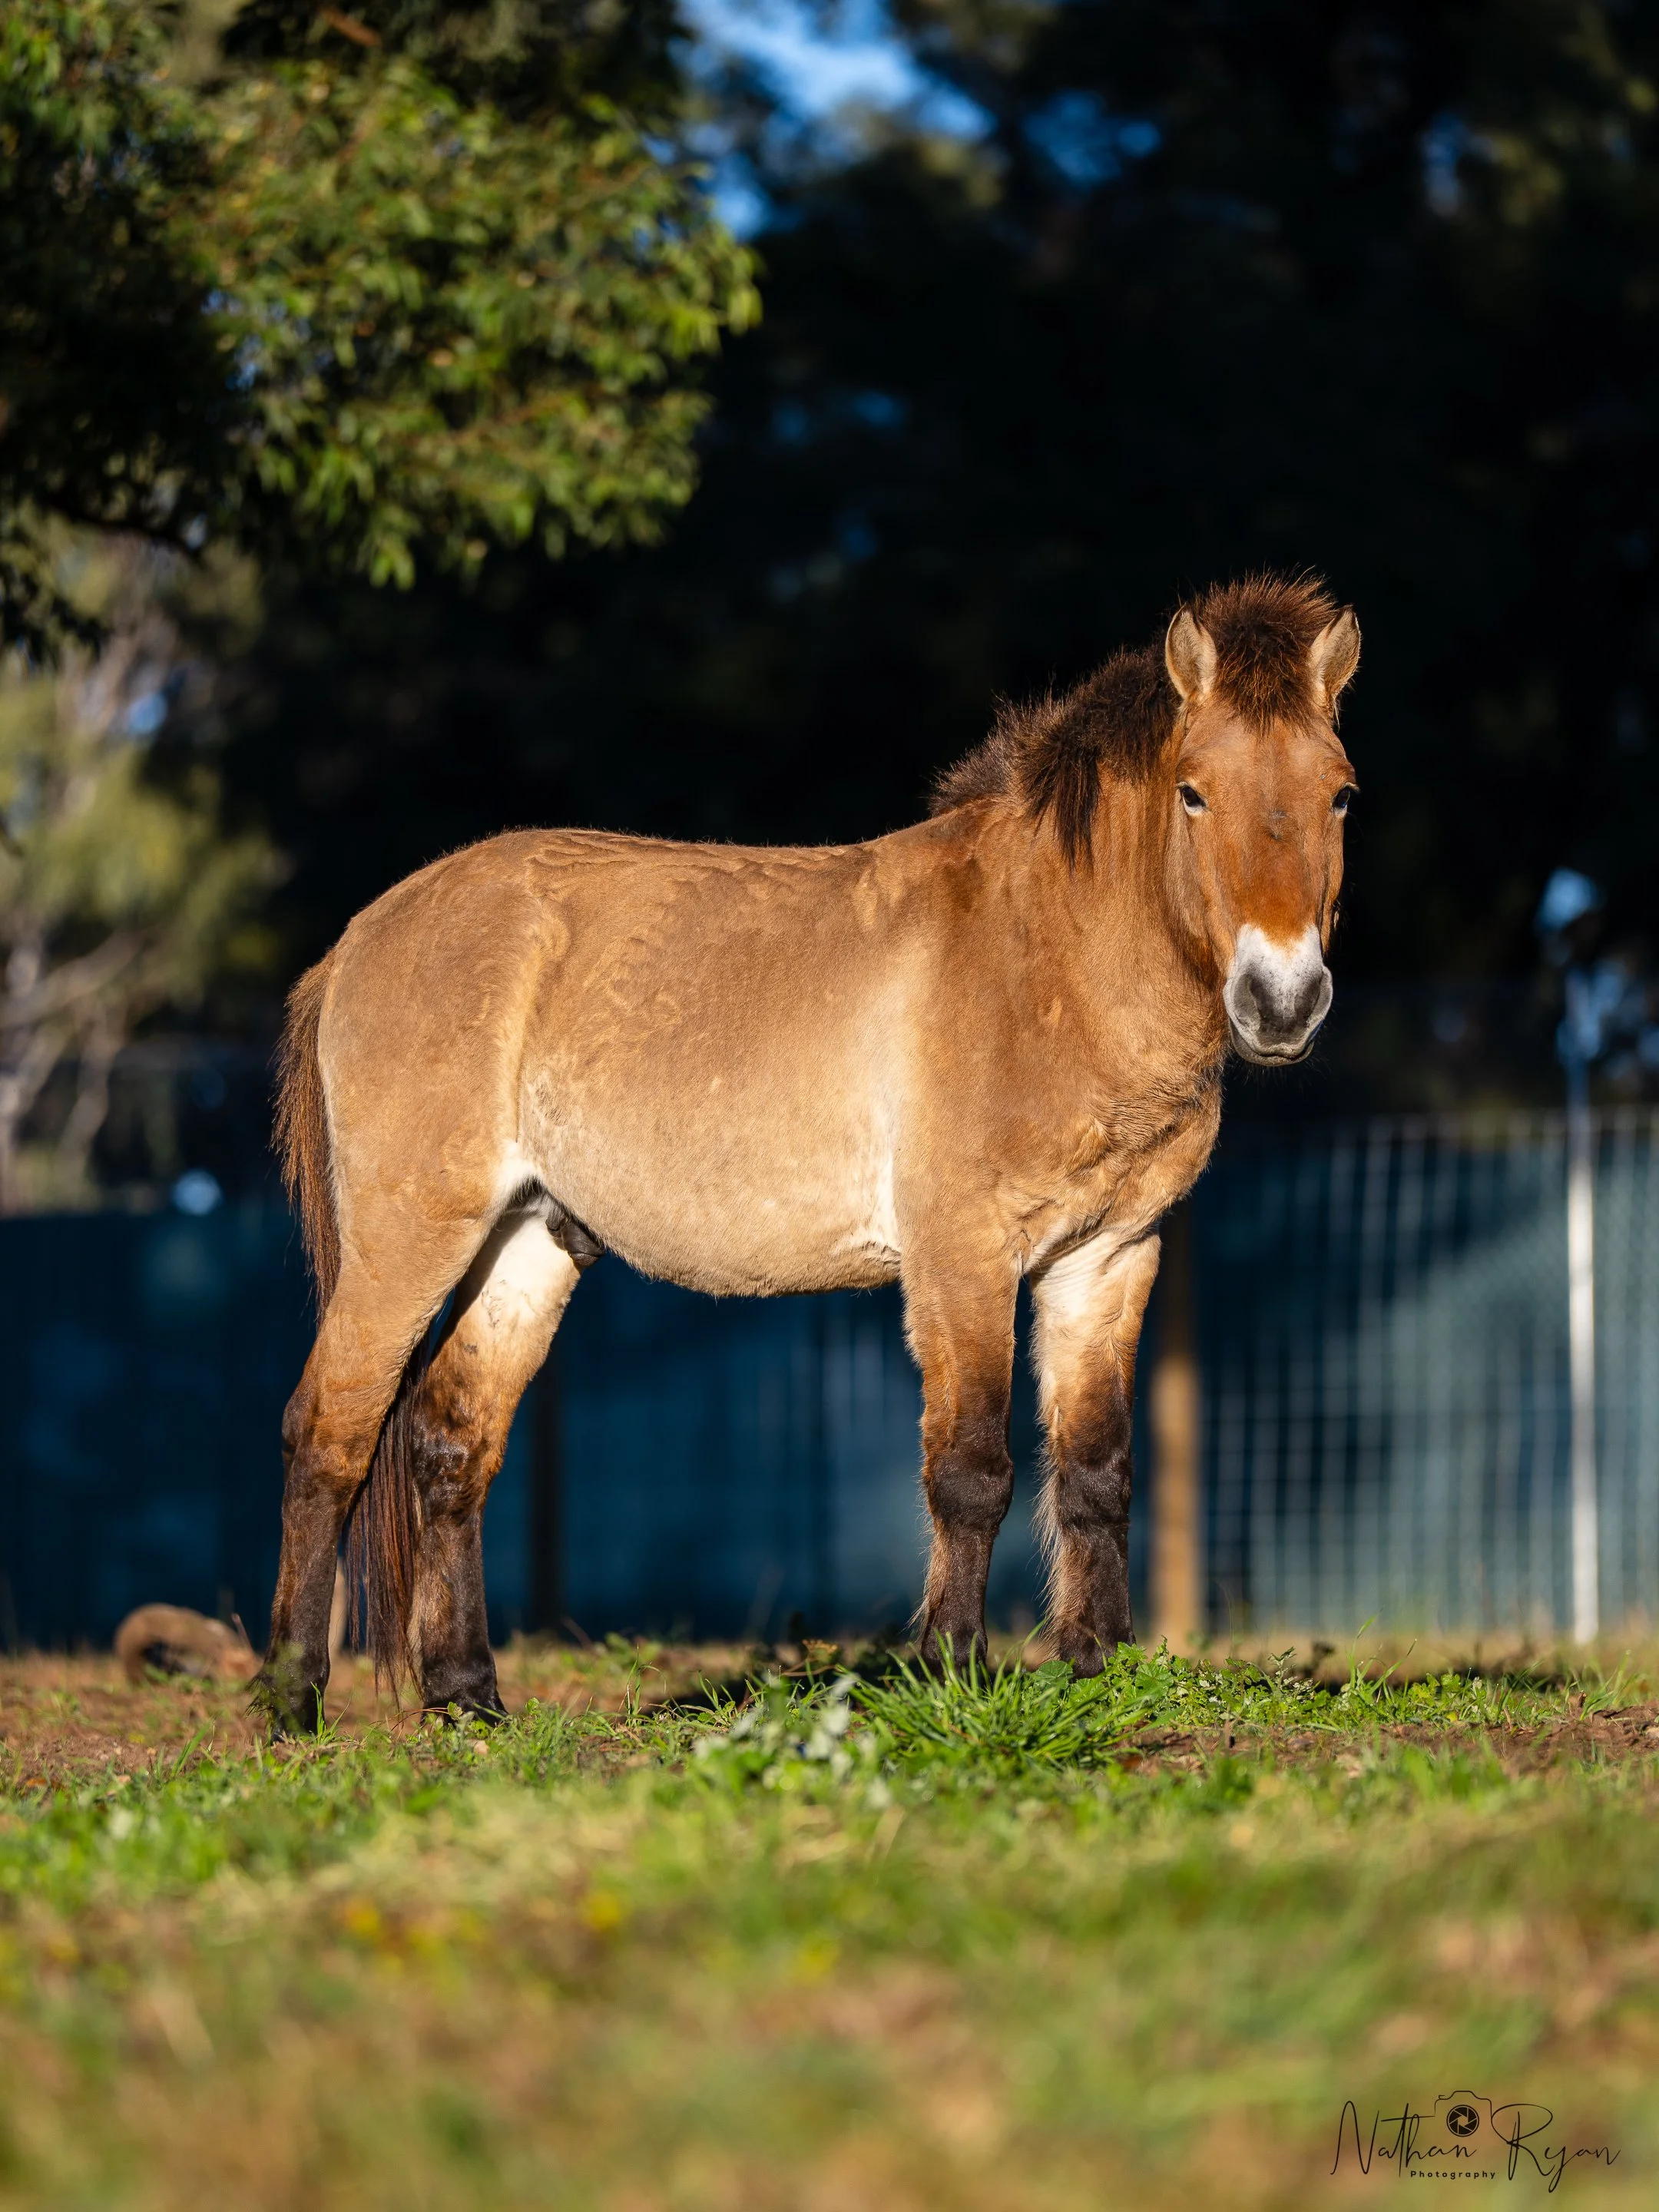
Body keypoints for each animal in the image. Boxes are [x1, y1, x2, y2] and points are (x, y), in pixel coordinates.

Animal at [257, 571, 1360, 1732]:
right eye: (1194, 793)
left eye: (1340, 795)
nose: (1283, 1001)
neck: (1047, 954)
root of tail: (361, 937)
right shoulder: (962, 1257)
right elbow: (970, 1469)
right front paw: (949, 1671)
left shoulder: (1108, 1258)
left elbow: (1096, 1470)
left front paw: (1091, 1675)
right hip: (408, 1239)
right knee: (327, 1433)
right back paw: (290, 1701)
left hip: (528, 1240)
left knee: (449, 1444)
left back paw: (468, 1700)